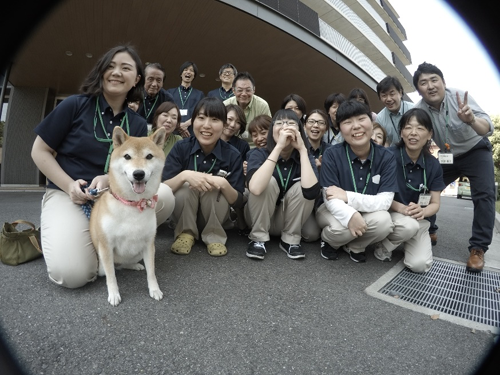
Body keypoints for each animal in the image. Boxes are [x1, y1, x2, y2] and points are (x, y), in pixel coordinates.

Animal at [90, 125, 166, 306]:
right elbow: (111, 276)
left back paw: (135, 266)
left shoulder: (149, 243)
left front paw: (154, 289)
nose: (139, 173)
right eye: (127, 156)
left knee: (125, 264)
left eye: (149, 156)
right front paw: (114, 294)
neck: (132, 204)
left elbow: (151, 272)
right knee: (112, 268)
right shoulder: (106, 245)